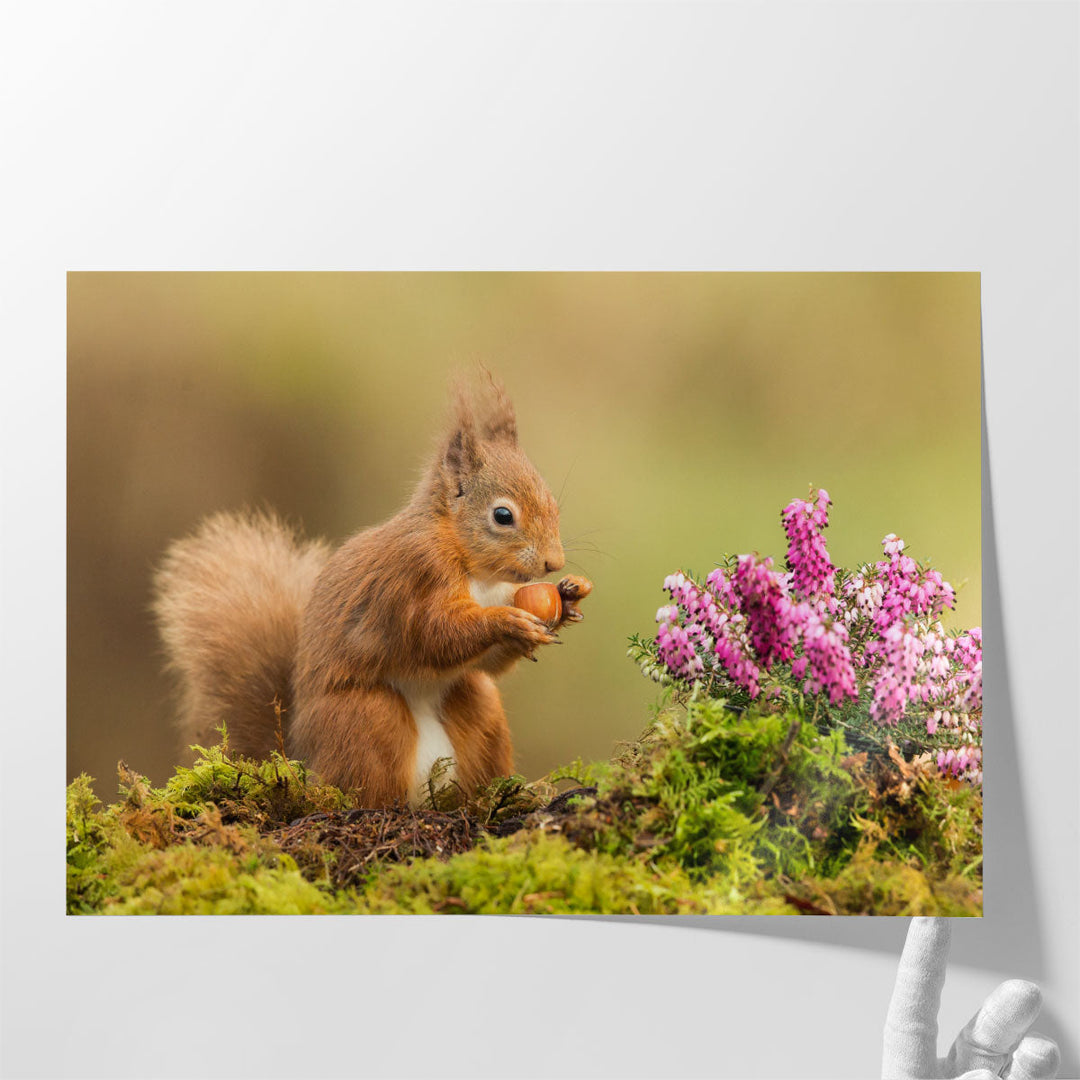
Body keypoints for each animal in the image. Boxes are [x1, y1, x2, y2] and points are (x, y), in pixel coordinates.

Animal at [151, 375, 587, 807]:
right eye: (502, 515)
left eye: (553, 503)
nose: (554, 563)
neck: (475, 570)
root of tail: (302, 757)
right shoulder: (414, 575)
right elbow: (436, 634)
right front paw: (507, 622)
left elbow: (488, 663)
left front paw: (568, 598)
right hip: (366, 719)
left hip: (478, 708)